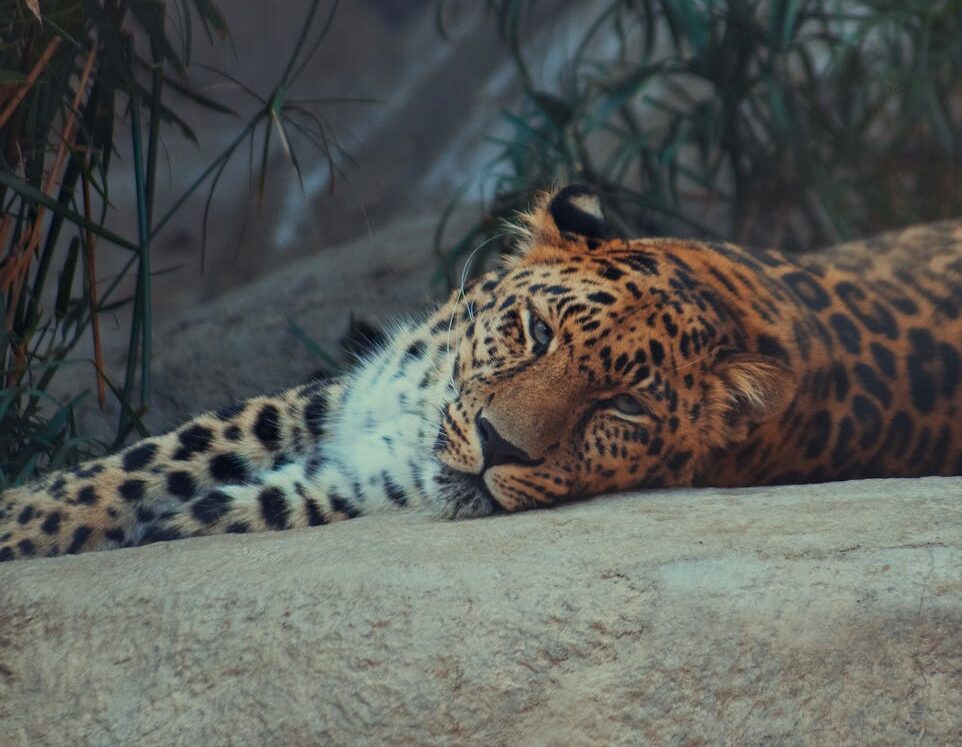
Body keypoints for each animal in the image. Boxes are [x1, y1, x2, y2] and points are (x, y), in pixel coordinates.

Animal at [3, 183, 962, 561]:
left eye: (620, 408)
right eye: (534, 332)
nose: (501, 445)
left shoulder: (361, 476)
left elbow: (257, 499)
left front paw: (171, 525)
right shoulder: (334, 397)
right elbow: (150, 457)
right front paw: (26, 518)